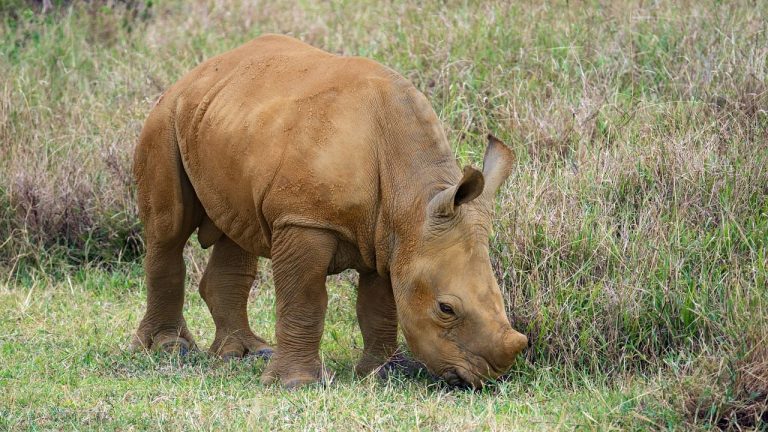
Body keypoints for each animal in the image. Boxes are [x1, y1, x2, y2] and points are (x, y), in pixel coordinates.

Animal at [130, 34, 528, 388]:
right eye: (446, 309)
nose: (486, 378)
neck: (412, 198)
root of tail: (194, 73)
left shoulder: (389, 235)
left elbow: (380, 307)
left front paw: (380, 374)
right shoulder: (304, 220)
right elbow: (305, 300)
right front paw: (295, 384)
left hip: (227, 118)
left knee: (236, 231)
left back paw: (244, 354)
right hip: (165, 117)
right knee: (169, 229)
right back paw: (169, 349)